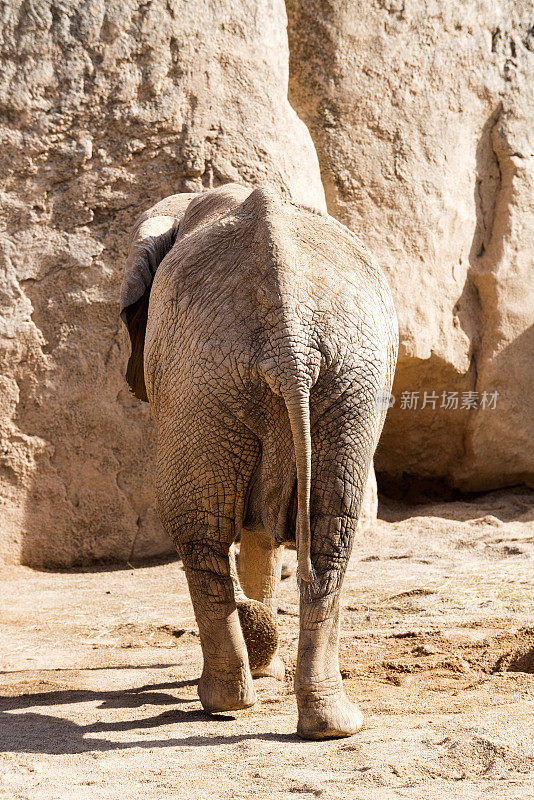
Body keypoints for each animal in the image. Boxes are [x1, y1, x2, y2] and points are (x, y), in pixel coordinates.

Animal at [121, 181, 398, 736]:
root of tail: (289, 338)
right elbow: (264, 528)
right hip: (346, 376)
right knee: (334, 527)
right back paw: (329, 724)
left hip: (206, 376)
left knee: (197, 526)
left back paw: (223, 699)